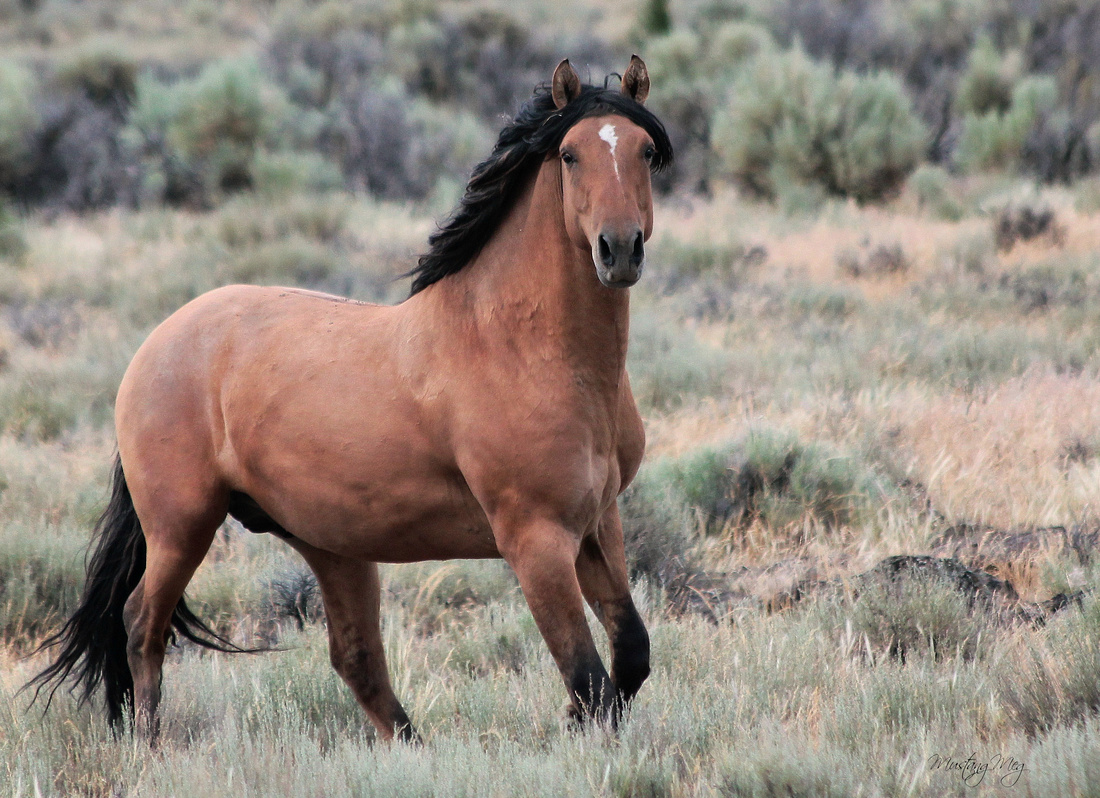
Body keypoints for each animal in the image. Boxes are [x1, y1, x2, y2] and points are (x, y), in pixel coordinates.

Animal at [27, 56, 668, 739]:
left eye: (645, 150)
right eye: (570, 155)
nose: (619, 249)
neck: (519, 347)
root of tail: (154, 347)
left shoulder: (597, 524)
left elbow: (629, 656)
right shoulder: (536, 539)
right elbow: (588, 676)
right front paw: (575, 727)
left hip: (330, 546)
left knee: (356, 659)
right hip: (181, 526)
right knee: (141, 625)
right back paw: (148, 743)